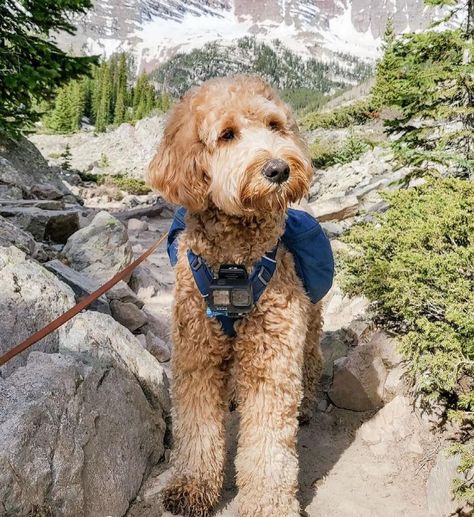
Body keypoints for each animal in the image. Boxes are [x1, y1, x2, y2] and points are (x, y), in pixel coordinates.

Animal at [149, 75, 322, 516]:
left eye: (275, 126)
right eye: (227, 134)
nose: (279, 168)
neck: (233, 263)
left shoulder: (272, 358)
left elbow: (267, 442)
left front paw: (266, 504)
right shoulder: (195, 354)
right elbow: (197, 428)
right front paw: (192, 486)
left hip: (310, 322)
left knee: (312, 360)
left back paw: (307, 403)